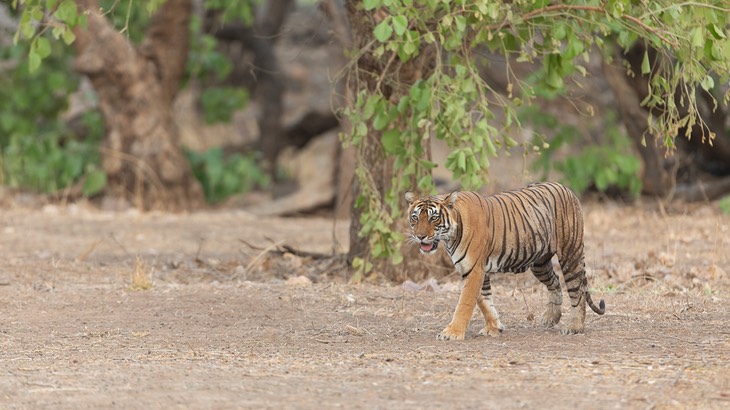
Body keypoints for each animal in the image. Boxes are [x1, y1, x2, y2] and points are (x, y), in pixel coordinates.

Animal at [404, 183, 604, 340]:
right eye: (415, 218)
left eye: (433, 218)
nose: (420, 236)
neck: (450, 237)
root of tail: (566, 188)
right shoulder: (473, 270)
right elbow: (484, 301)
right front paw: (494, 327)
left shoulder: (474, 270)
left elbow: (465, 303)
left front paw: (452, 333)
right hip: (539, 262)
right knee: (554, 283)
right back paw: (550, 317)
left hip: (570, 254)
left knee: (577, 291)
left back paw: (574, 327)